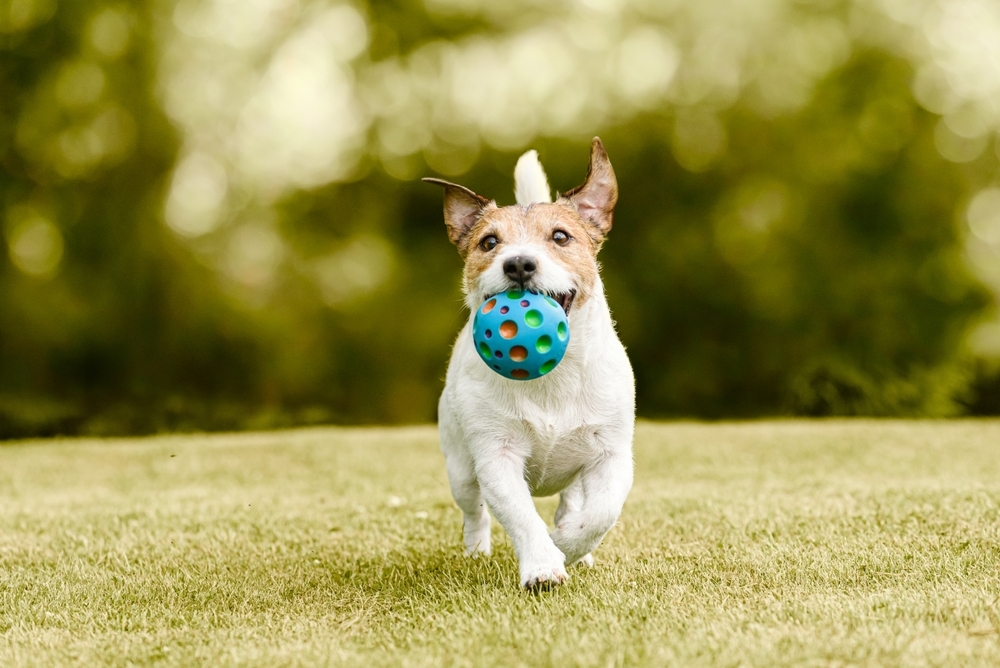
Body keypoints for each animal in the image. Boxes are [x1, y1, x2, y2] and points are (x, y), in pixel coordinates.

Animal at [422, 138, 632, 588]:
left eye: (560, 236)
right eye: (488, 243)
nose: (518, 262)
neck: (552, 377)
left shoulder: (611, 454)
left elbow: (601, 514)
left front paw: (567, 545)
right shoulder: (495, 456)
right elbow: (520, 516)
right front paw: (542, 564)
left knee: (572, 502)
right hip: (460, 468)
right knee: (474, 511)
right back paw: (476, 551)